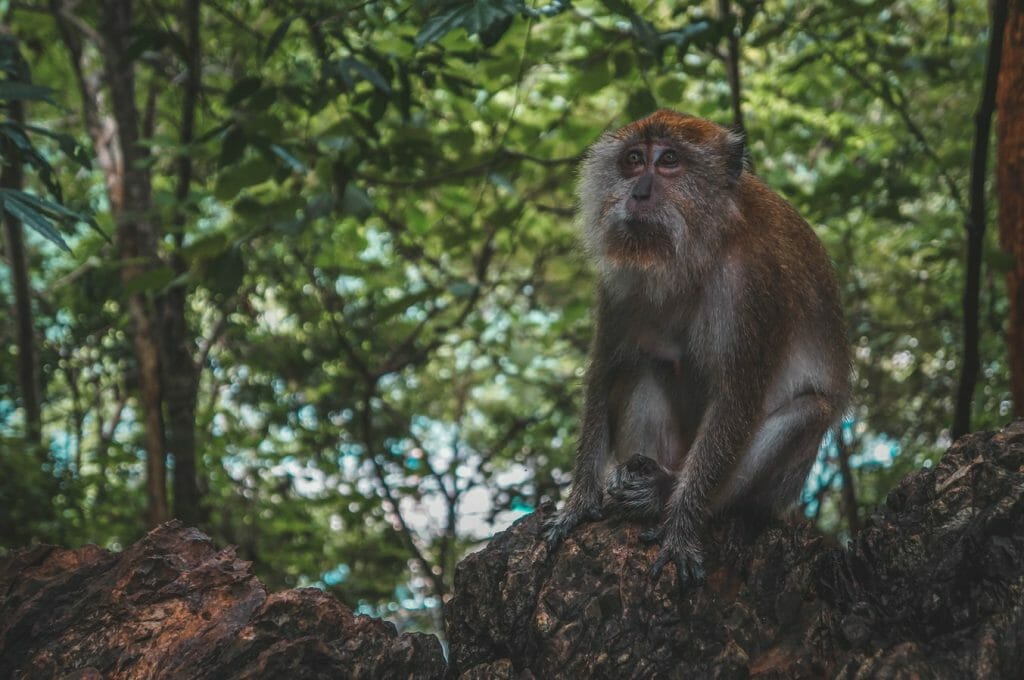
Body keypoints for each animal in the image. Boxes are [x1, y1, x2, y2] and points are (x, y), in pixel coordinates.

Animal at [544, 109, 847, 585]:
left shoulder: (754, 284)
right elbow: (605, 373)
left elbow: (736, 402)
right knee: (644, 367)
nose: (639, 192)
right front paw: (578, 505)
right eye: (633, 160)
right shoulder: (617, 285)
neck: (691, 252)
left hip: (777, 492)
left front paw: (681, 530)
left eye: (669, 160)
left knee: (808, 410)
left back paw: (662, 492)